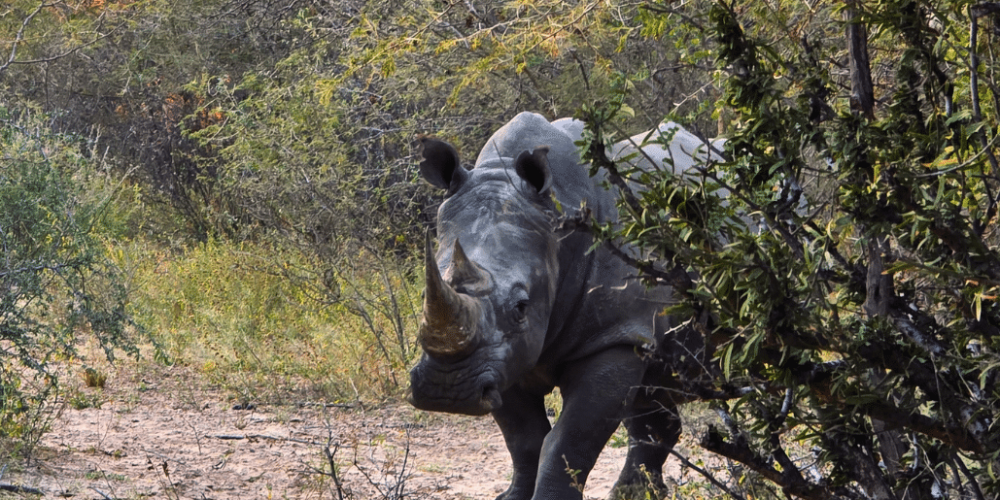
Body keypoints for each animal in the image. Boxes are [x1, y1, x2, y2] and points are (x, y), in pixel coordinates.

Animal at [409, 112, 718, 500]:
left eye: (521, 307)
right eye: (426, 293)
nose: (447, 390)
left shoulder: (614, 335)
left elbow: (568, 440)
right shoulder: (500, 354)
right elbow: (524, 439)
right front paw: (512, 497)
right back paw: (634, 493)